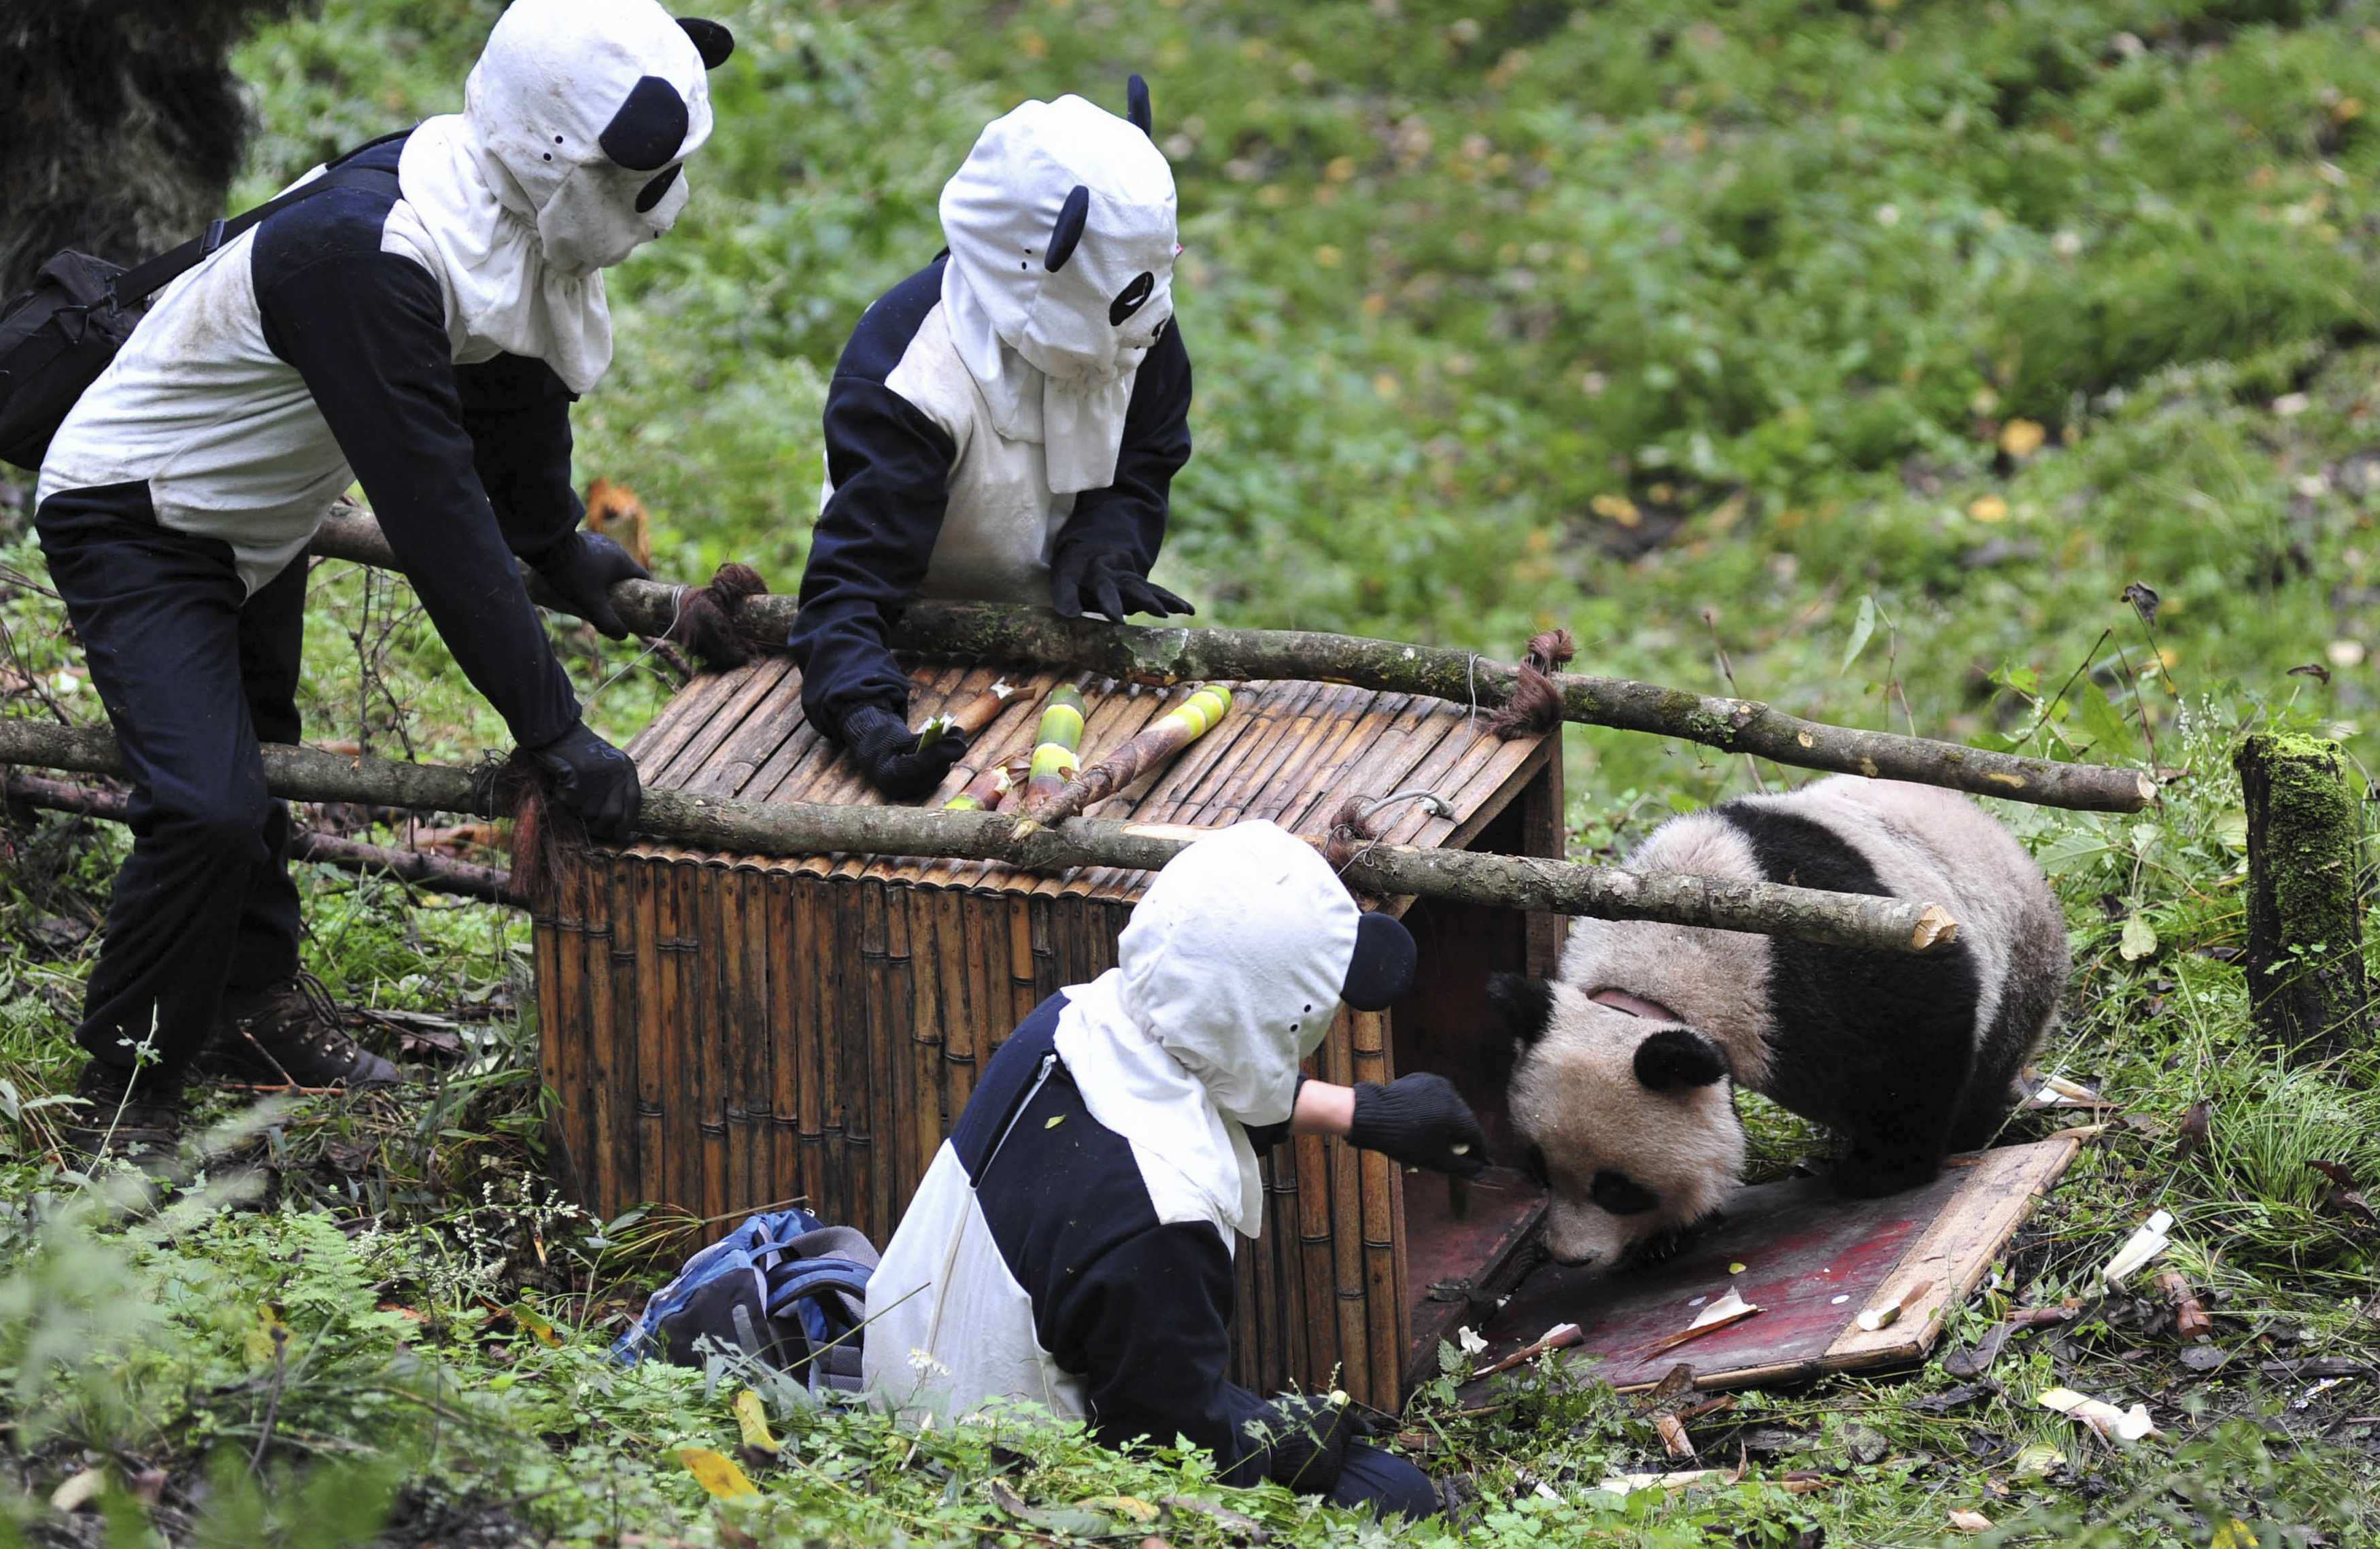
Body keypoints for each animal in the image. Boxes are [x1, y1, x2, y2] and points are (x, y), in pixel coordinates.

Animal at [1495, 775, 2075, 1275]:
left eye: (1616, 1189)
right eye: (1539, 1170)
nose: (1571, 1257)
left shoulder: (1819, 949)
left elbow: (1919, 1027)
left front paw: (1883, 1172)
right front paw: (1667, 1238)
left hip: (2016, 955)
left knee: (1986, 1062)